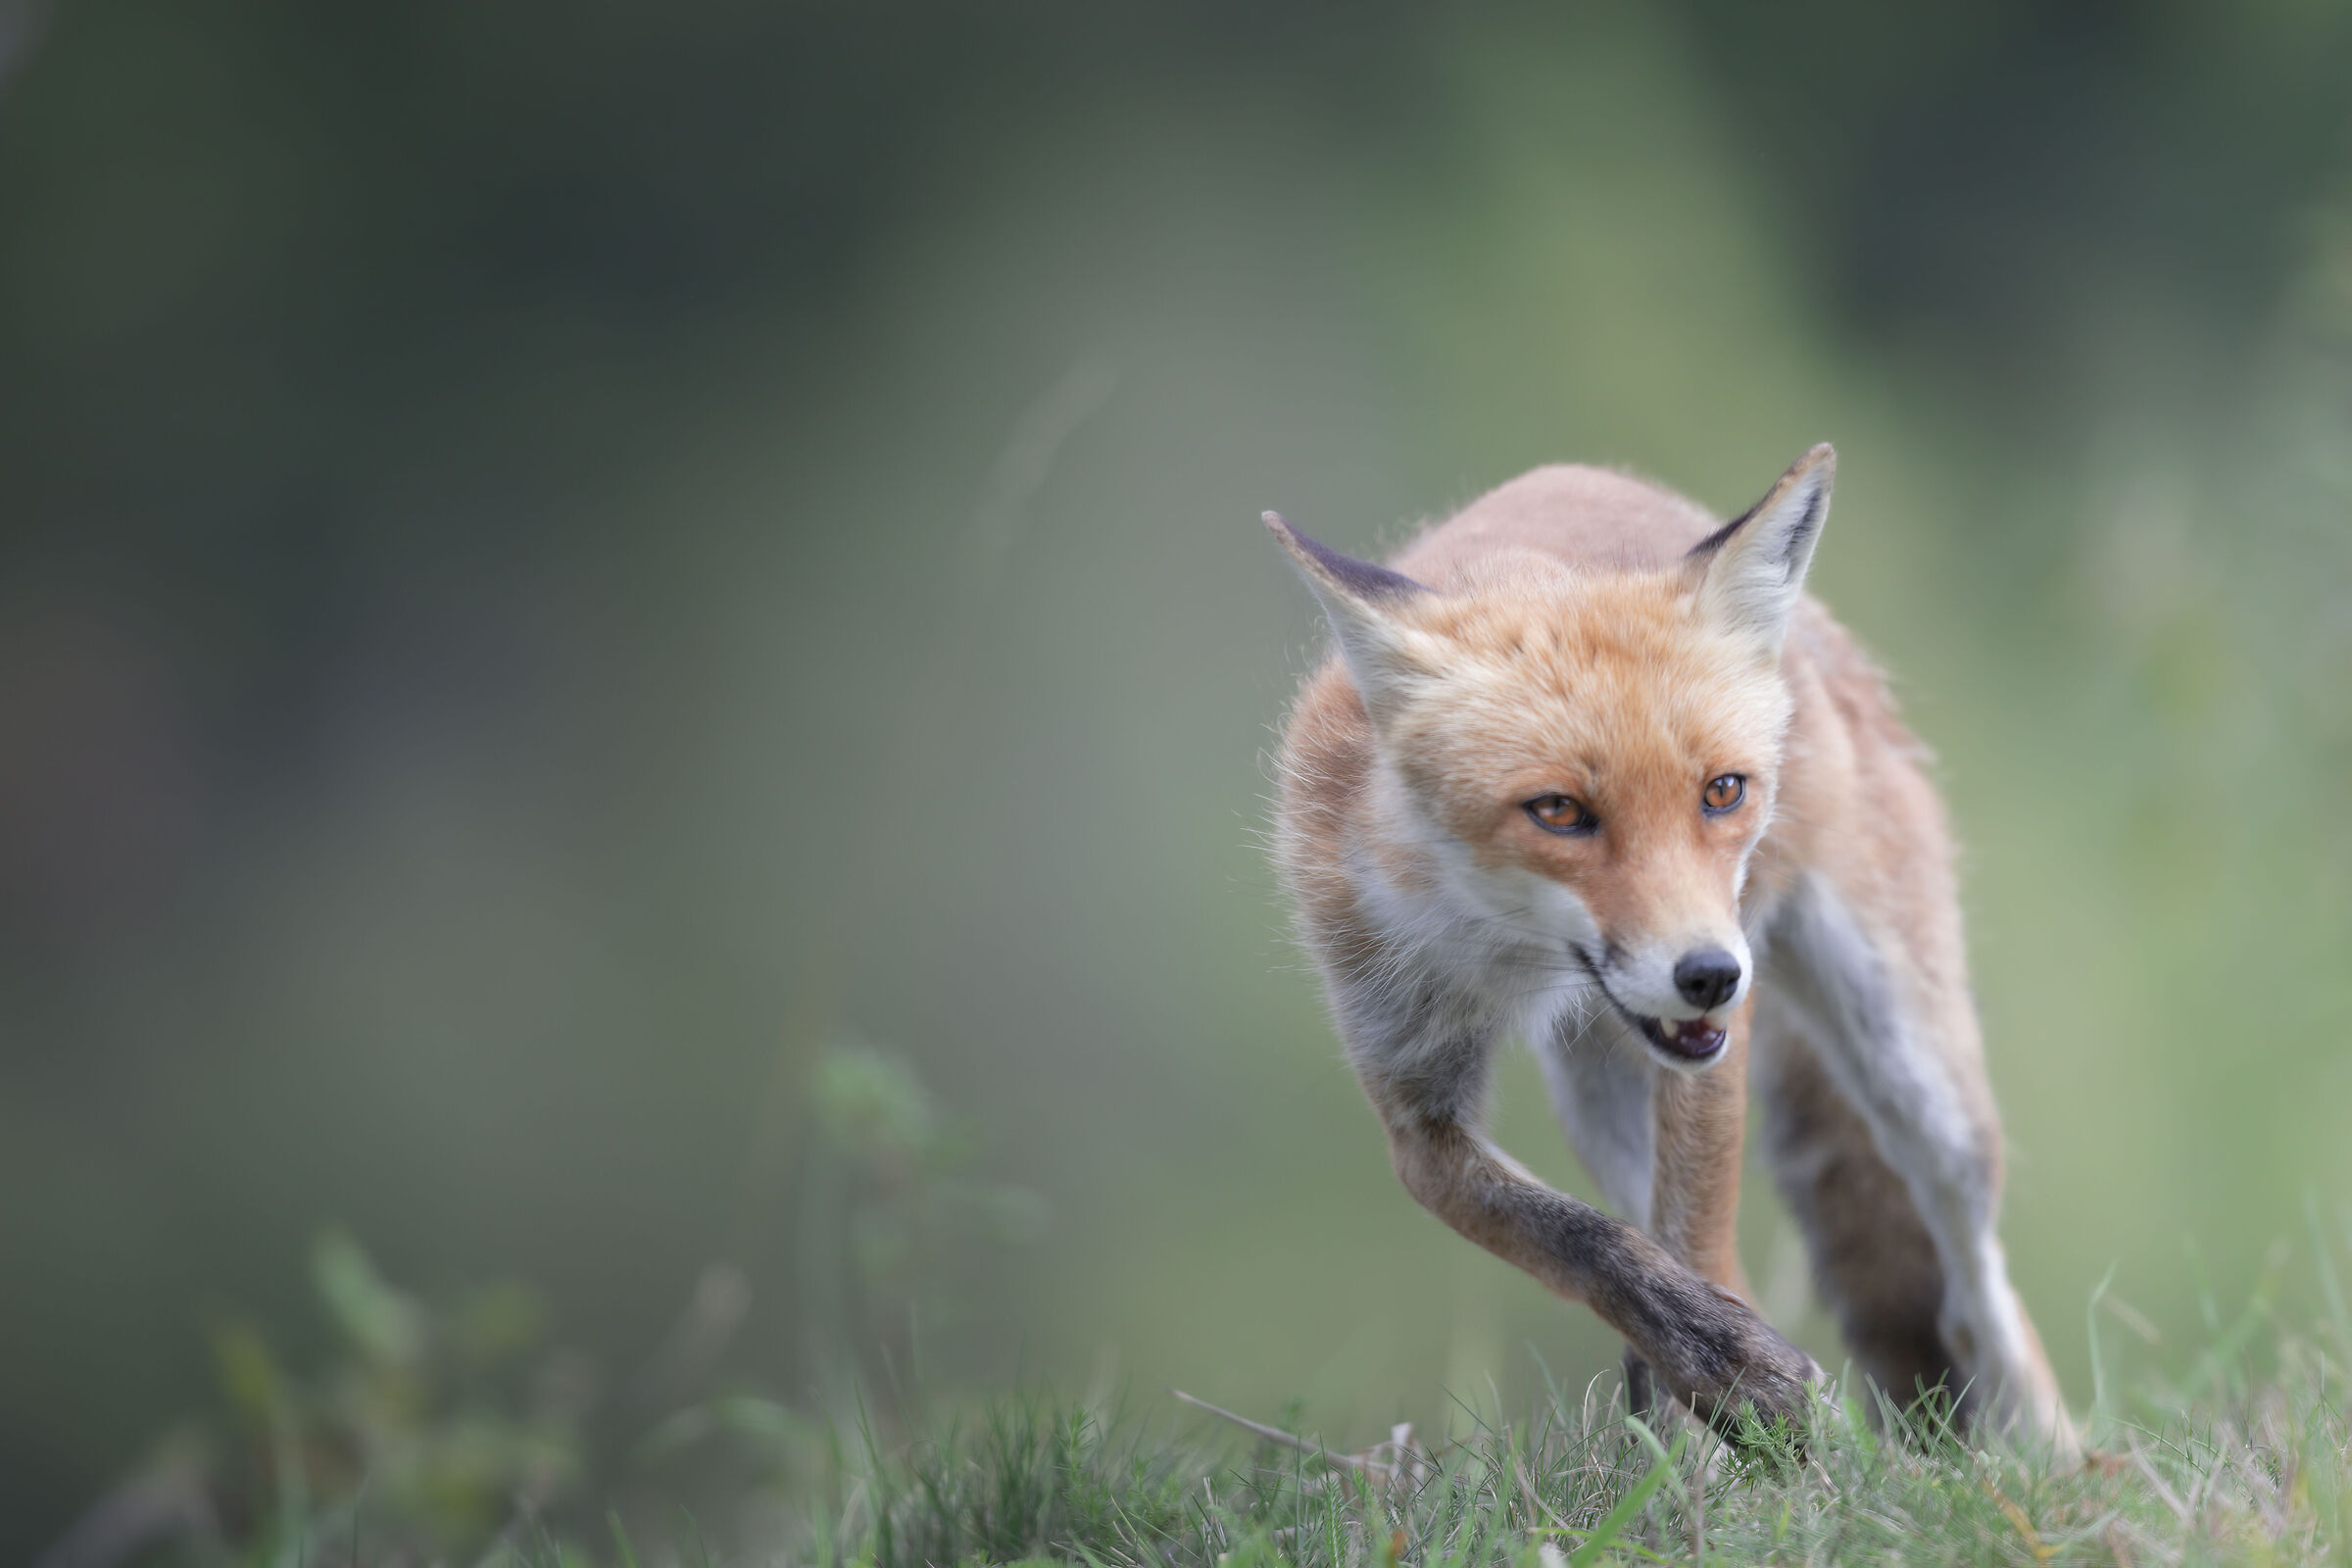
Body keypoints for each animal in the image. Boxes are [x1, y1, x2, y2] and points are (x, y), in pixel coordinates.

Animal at [1265, 444, 2071, 1444]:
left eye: (1722, 792)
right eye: (1558, 811)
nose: (1711, 976)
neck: (1505, 949)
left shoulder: (1714, 1053)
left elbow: (1691, 1234)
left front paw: (1725, 1426)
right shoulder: (1415, 1103)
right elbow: (1597, 1245)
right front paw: (1721, 1375)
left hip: (1916, 1077)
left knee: (1977, 1281)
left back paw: (2046, 1452)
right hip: (1598, 1099)